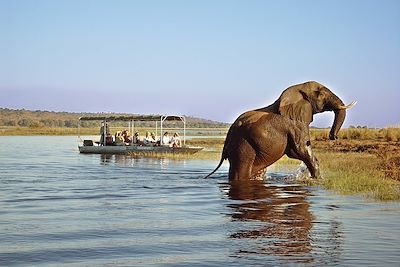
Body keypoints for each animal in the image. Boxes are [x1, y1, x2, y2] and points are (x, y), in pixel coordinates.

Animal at [205, 79, 354, 180]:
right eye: (320, 94)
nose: (333, 136)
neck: (297, 89)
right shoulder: (295, 124)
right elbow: (302, 149)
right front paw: (317, 180)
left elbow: (294, 152)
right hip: (242, 147)